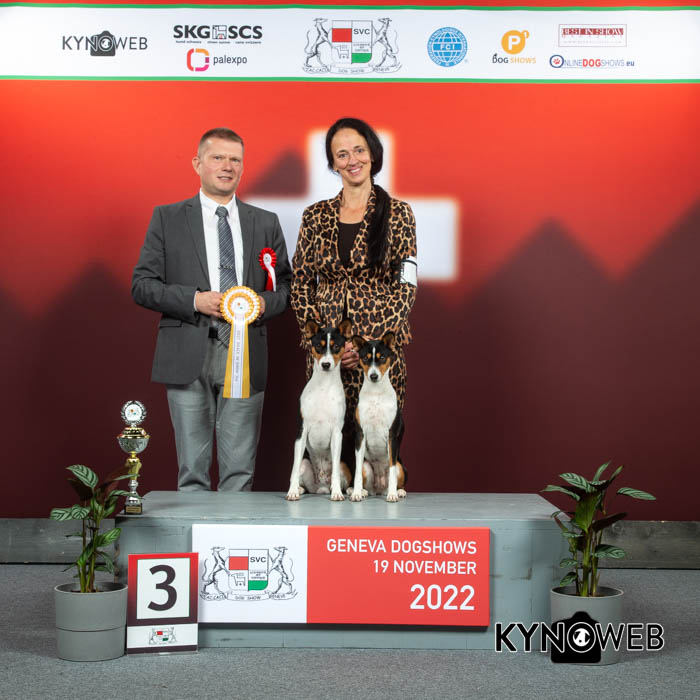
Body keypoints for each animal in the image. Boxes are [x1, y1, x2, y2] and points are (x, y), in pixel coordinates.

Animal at [286, 319, 352, 501]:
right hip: (305, 463)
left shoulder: (337, 433)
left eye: (336, 346)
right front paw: (292, 491)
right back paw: (300, 489)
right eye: (318, 346)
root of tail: (321, 487)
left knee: (344, 480)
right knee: (302, 475)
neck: (324, 386)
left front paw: (337, 493)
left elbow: (335, 471)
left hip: (344, 465)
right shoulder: (302, 431)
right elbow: (293, 469)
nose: (326, 364)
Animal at [348, 331, 406, 503]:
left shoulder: (392, 435)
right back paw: (360, 491)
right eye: (365, 358)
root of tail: (379, 488)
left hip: (400, 466)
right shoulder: (360, 434)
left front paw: (393, 494)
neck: (376, 393)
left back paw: (398, 491)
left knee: (396, 476)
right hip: (366, 466)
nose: (373, 376)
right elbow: (357, 473)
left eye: (382, 358)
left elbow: (392, 472)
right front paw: (356, 493)